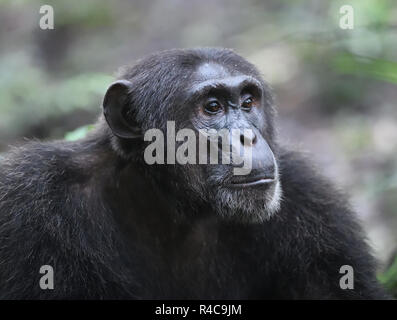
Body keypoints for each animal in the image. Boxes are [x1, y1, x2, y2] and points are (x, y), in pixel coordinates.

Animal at [0, 48, 388, 300]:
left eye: (248, 102)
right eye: (212, 107)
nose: (248, 136)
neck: (171, 206)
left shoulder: (315, 207)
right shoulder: (28, 207)